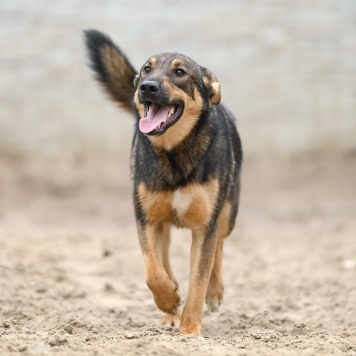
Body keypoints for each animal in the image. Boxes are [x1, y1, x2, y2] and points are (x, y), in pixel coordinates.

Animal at [85, 30, 243, 336]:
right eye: (147, 69)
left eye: (179, 72)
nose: (147, 87)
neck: (173, 152)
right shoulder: (146, 218)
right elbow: (153, 270)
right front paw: (169, 299)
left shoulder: (205, 226)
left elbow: (198, 283)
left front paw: (190, 330)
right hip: (163, 221)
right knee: (165, 259)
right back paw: (170, 311)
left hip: (228, 213)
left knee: (219, 245)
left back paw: (214, 292)